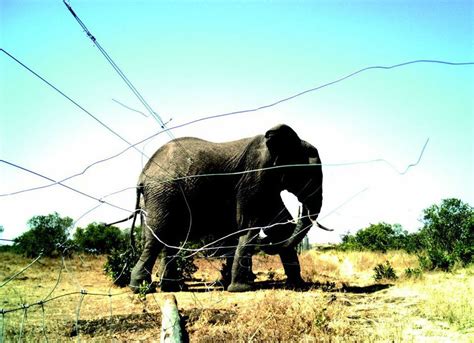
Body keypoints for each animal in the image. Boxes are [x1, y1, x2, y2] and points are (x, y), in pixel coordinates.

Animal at [126, 124, 326, 292]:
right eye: (308, 174)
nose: (265, 243)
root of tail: (142, 175)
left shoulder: (268, 184)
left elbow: (280, 226)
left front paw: (299, 286)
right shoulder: (254, 176)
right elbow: (249, 225)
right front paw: (240, 289)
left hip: (158, 198)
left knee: (168, 240)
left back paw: (172, 288)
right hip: (163, 193)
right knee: (157, 238)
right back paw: (142, 288)